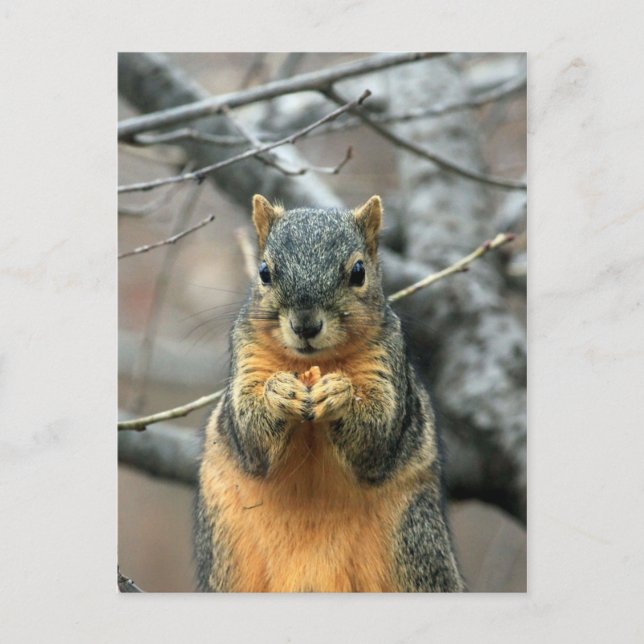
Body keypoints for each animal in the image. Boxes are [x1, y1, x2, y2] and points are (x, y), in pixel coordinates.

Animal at [194, 194, 464, 592]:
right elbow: (249, 434)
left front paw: (340, 395)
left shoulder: (387, 362)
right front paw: (279, 393)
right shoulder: (246, 357)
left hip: (415, 543)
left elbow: (378, 435)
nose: (306, 325)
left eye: (358, 272)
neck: (314, 362)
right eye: (264, 272)